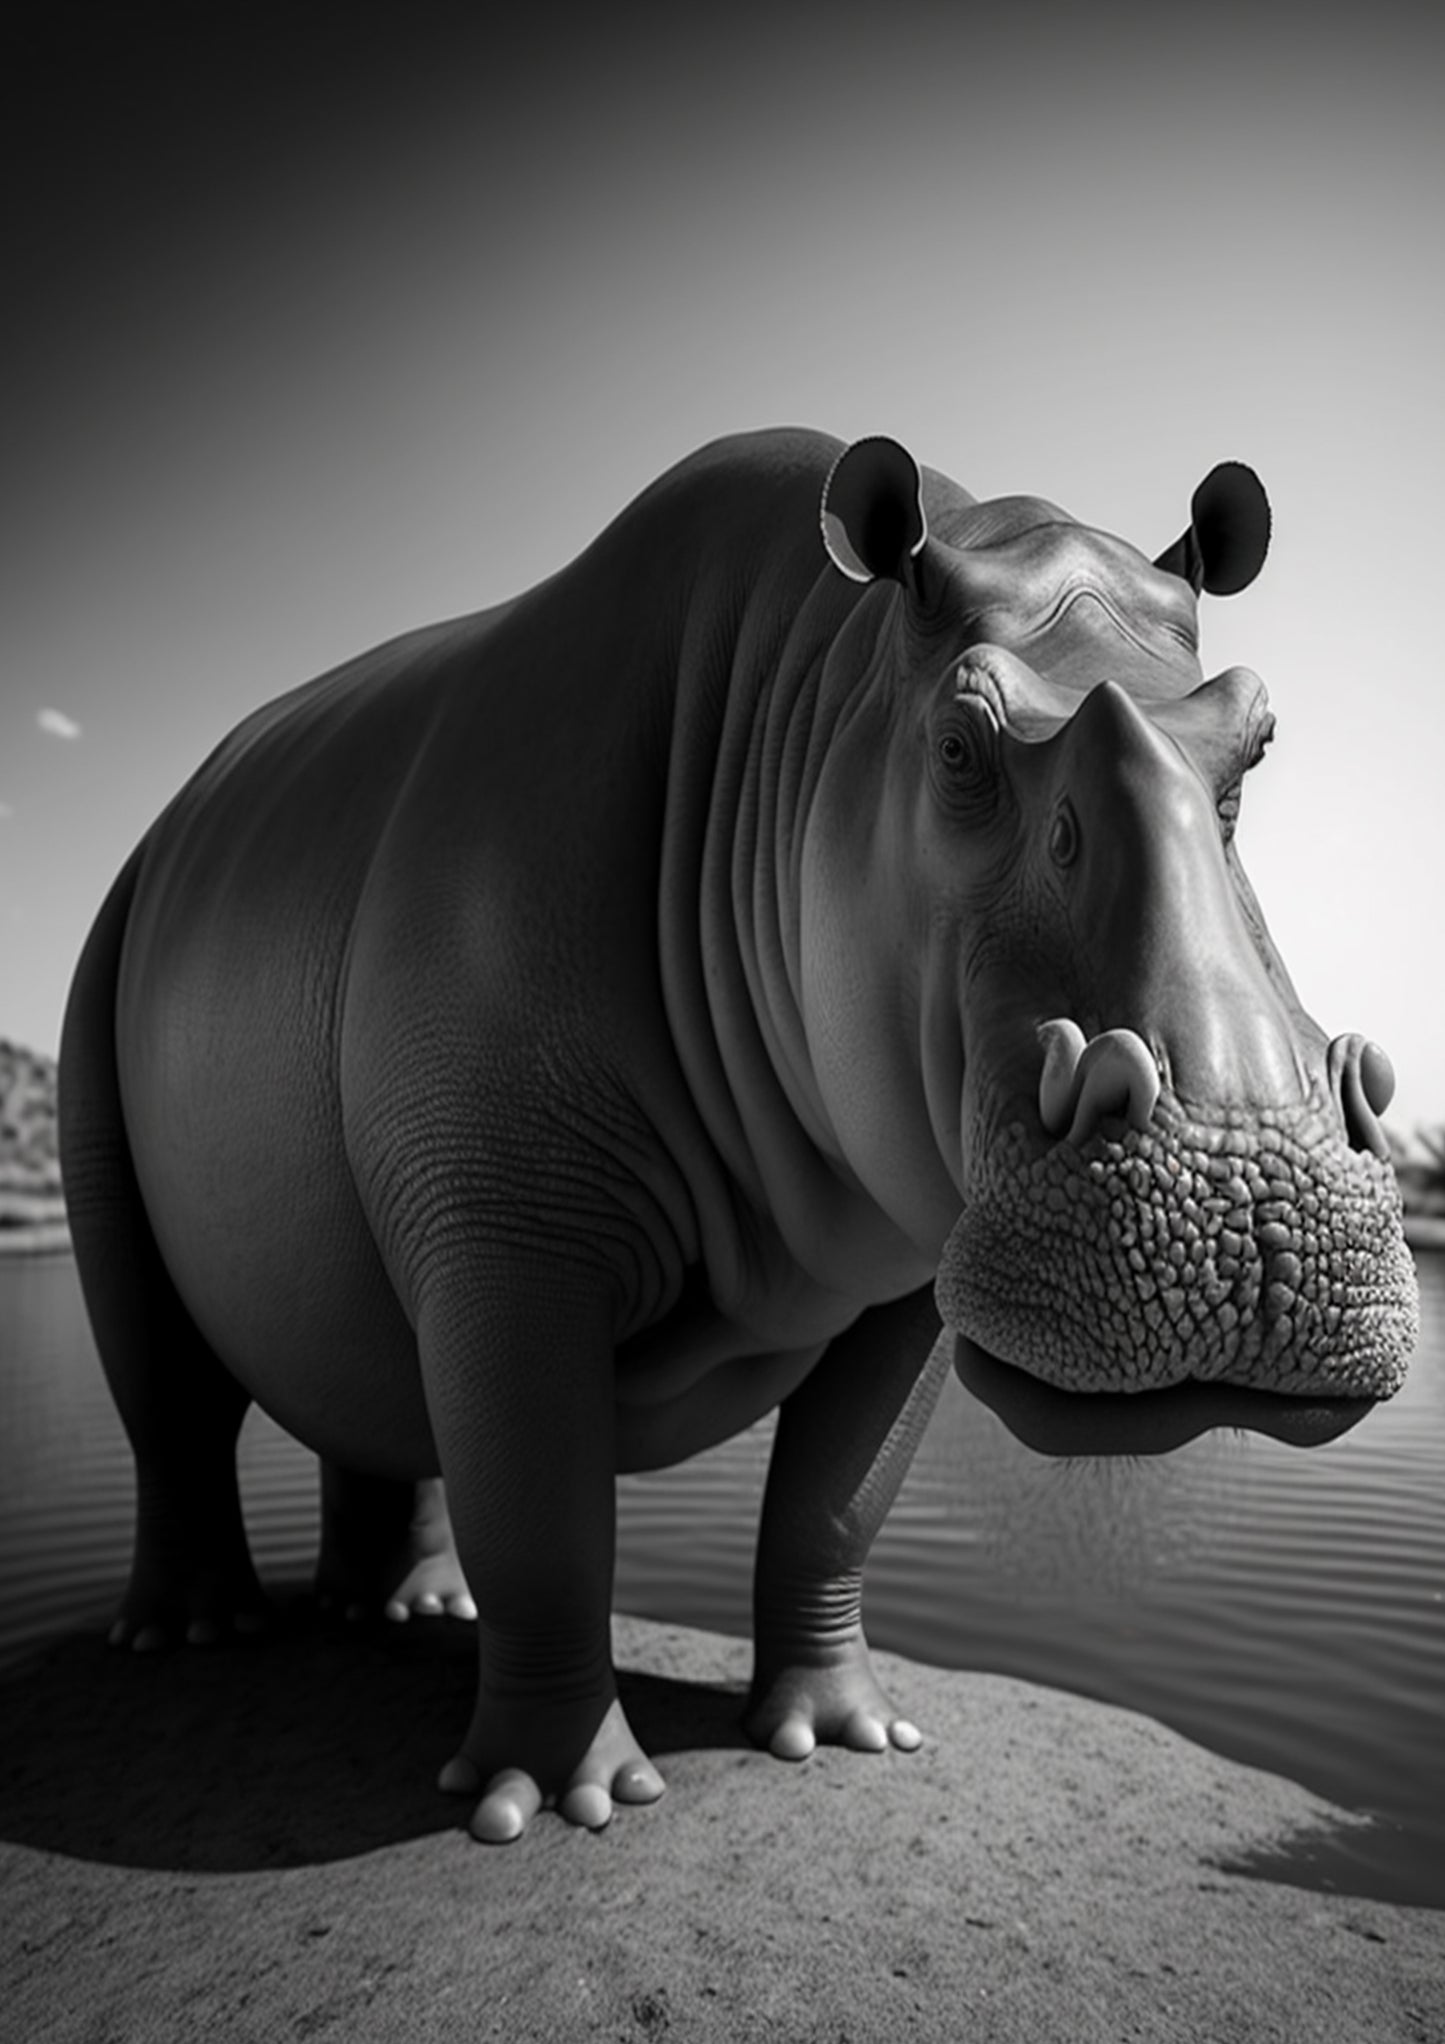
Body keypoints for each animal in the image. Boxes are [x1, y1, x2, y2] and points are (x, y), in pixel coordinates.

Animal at [59, 427, 1418, 1843]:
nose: (1254, 1192)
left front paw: (840, 1737)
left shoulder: (906, 1270)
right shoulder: (504, 1232)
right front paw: (559, 1803)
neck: (819, 705)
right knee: (168, 1385)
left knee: (370, 1380)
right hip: (111, 973)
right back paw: (192, 1641)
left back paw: (404, 1610)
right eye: (954, 744)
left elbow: (834, 1498)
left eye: (1255, 737)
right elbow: (540, 1498)